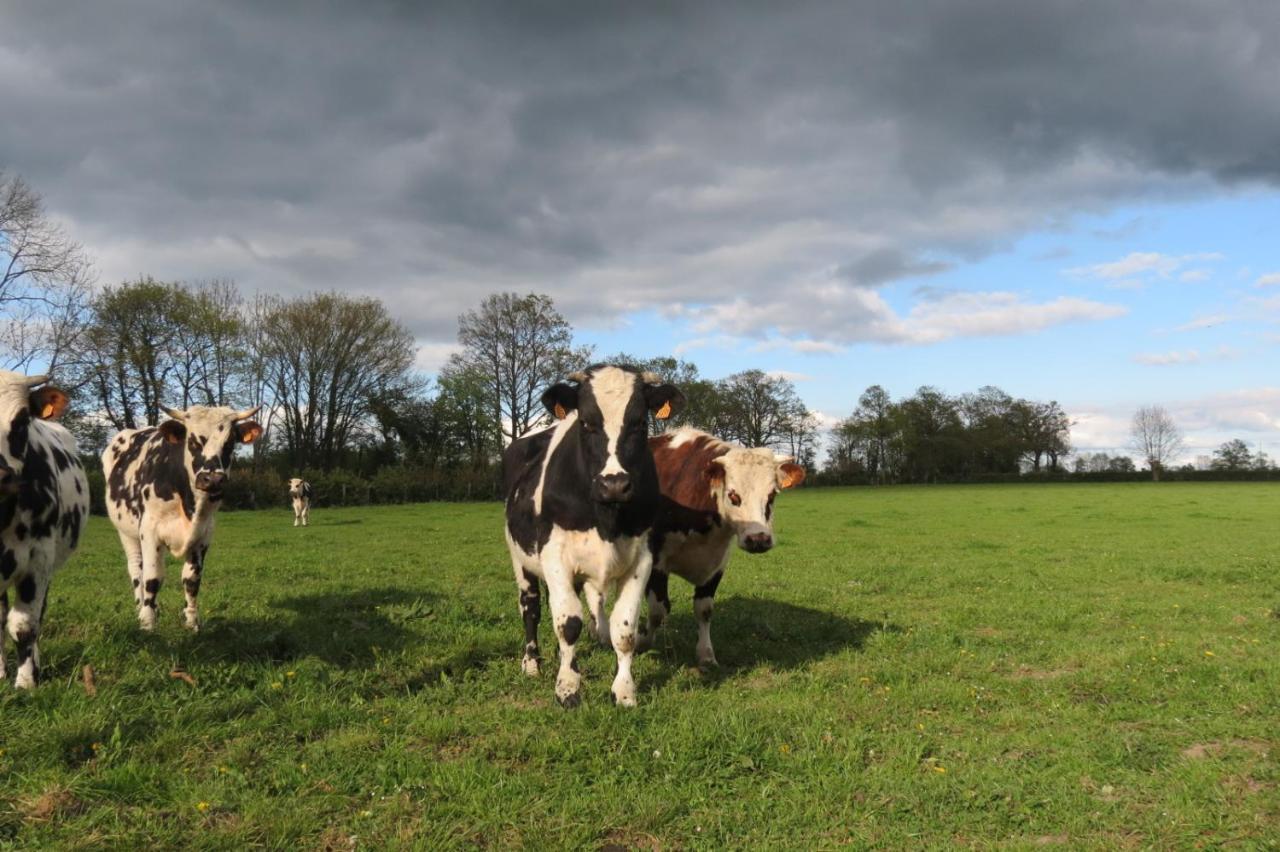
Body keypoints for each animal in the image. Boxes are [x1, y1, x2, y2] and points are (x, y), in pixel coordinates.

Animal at [104, 401, 264, 626]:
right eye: (193, 441)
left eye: (230, 443)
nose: (212, 479)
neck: (190, 506)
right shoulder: (149, 530)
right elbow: (152, 577)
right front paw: (148, 620)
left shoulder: (204, 534)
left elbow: (191, 579)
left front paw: (191, 621)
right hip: (126, 531)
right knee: (136, 569)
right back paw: (140, 607)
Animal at [499, 363, 686, 701]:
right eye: (585, 422)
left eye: (640, 423)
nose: (614, 484)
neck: (606, 517)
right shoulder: (554, 554)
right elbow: (567, 623)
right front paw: (568, 686)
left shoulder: (641, 558)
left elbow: (624, 629)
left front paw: (624, 691)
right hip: (520, 558)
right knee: (531, 607)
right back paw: (531, 662)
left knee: (592, 601)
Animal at [614, 427, 803, 665]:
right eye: (733, 495)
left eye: (771, 496)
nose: (758, 539)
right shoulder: (654, 560)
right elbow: (658, 611)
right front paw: (642, 642)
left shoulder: (717, 563)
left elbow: (704, 609)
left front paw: (706, 655)